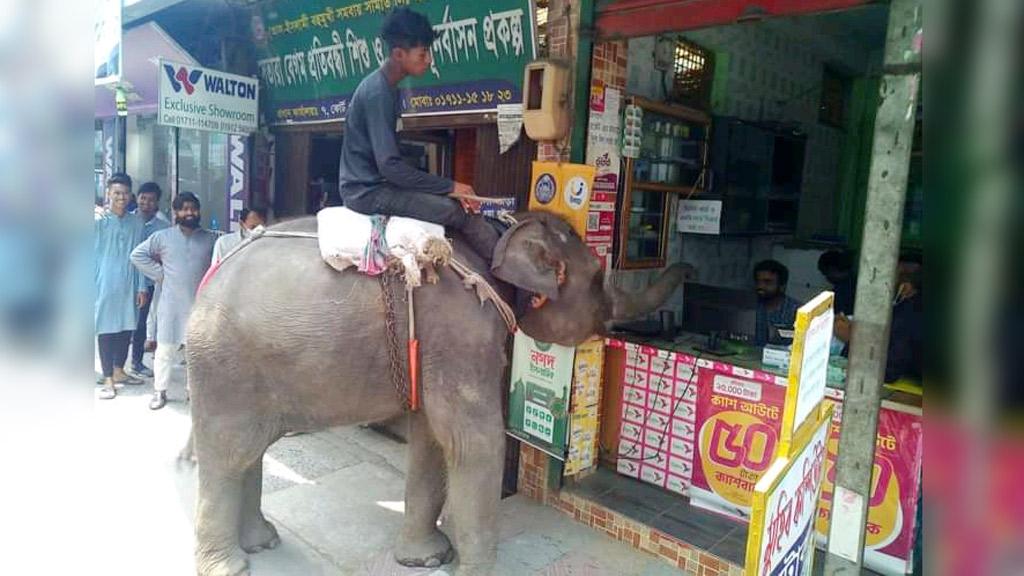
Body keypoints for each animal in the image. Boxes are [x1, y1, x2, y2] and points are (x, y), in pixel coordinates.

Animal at [188, 211, 684, 573]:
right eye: (600, 276)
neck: (499, 236)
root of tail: (211, 276)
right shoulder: (464, 332)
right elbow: (474, 442)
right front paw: (467, 567)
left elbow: (432, 438)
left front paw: (426, 559)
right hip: (224, 366)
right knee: (226, 455)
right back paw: (230, 565)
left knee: (249, 453)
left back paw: (261, 542)